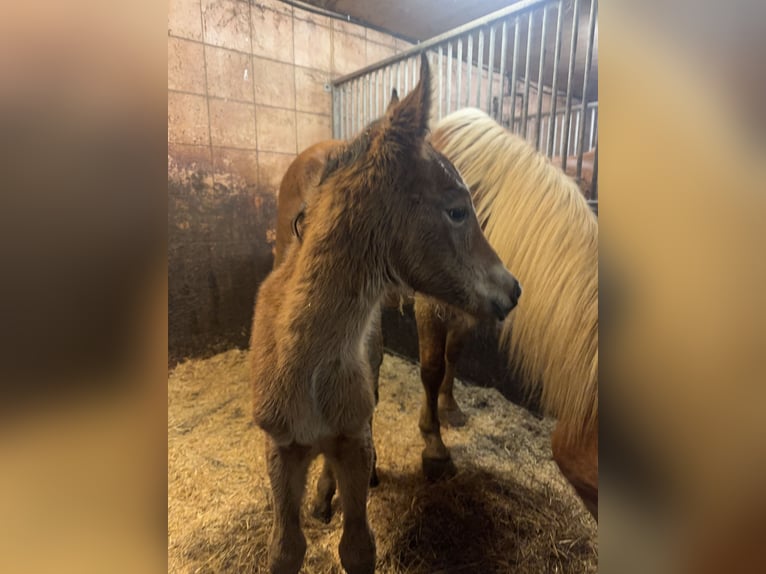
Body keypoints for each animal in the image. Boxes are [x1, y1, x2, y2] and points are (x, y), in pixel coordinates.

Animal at [250, 55, 521, 574]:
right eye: (458, 210)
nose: (513, 289)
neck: (307, 367)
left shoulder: (353, 442)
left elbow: (358, 547)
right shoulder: (279, 450)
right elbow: (284, 550)